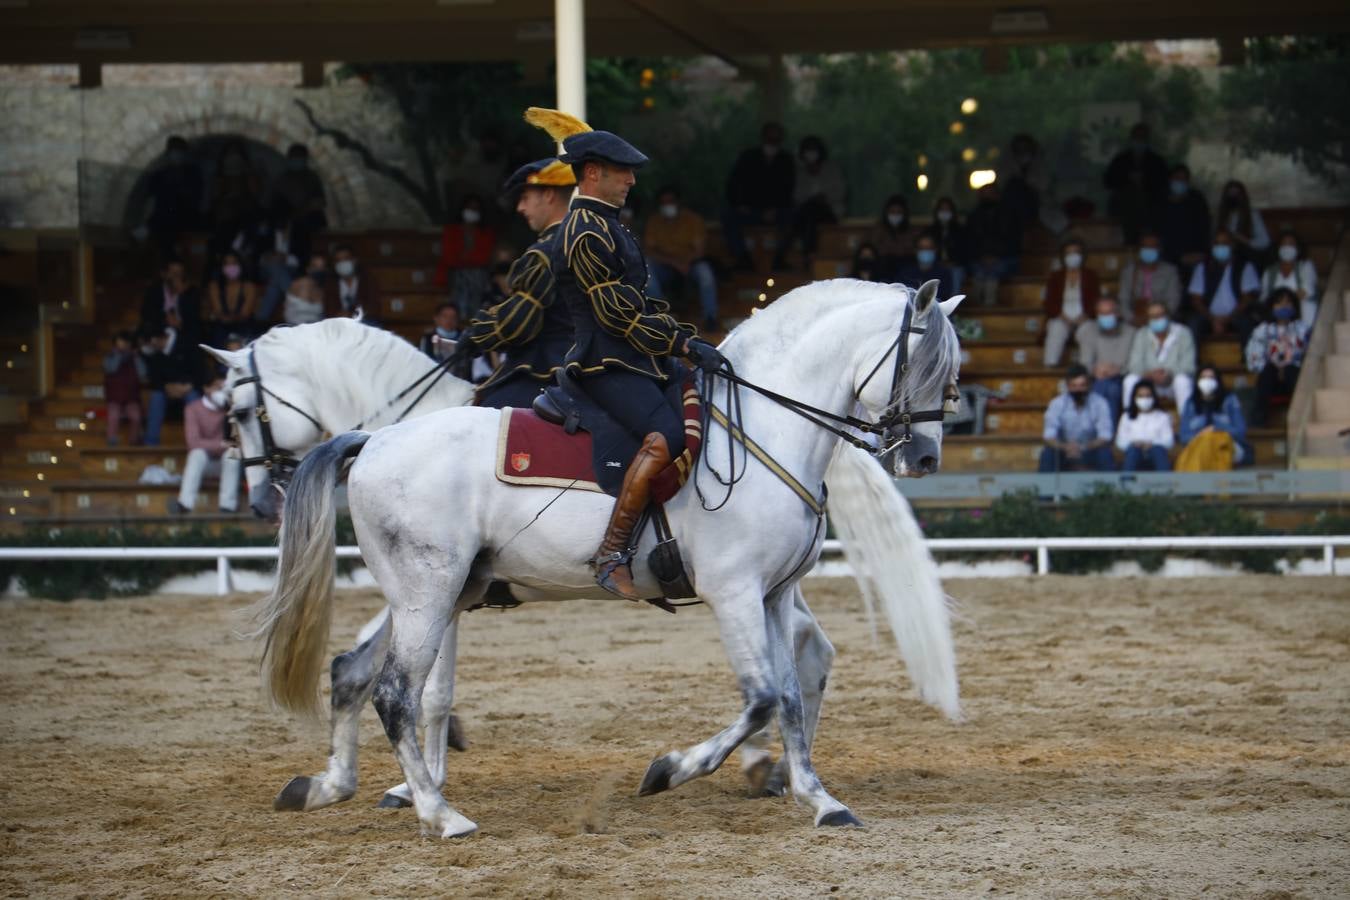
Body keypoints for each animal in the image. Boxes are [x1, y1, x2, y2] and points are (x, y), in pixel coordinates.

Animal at [251, 276, 961, 836]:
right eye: (923, 366)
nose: (925, 458)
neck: (762, 429)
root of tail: (372, 441)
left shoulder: (773, 595)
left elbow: (784, 694)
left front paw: (819, 798)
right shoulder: (733, 592)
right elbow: (760, 697)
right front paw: (670, 770)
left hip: (433, 594)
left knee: (364, 675)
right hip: (427, 593)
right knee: (393, 690)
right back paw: (437, 813)